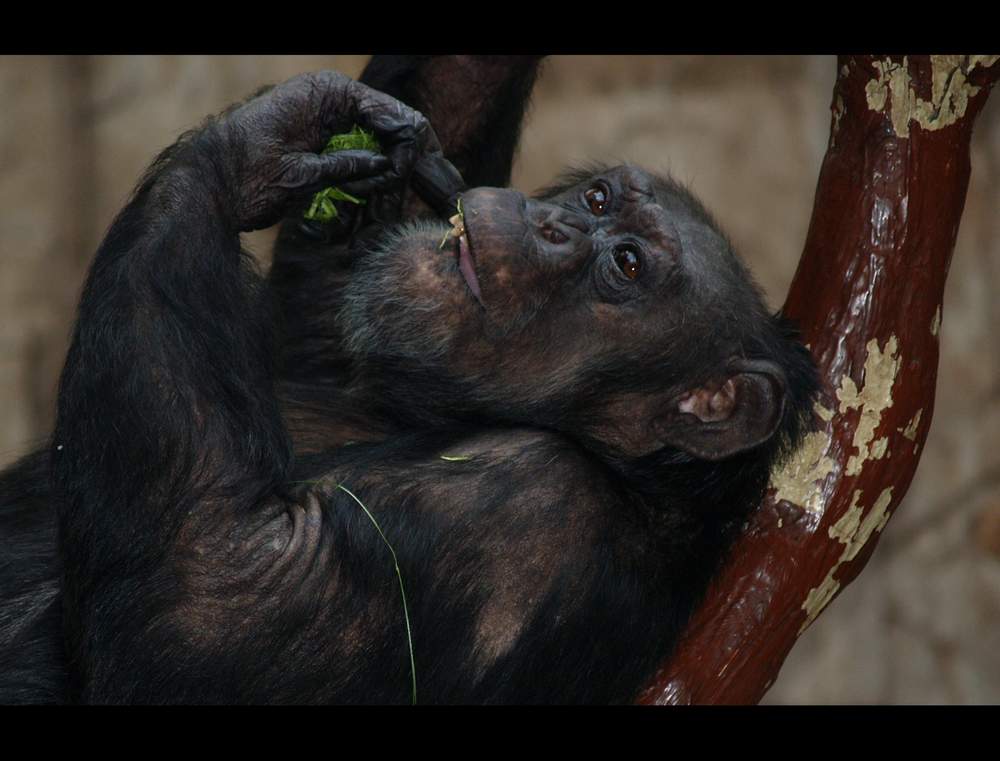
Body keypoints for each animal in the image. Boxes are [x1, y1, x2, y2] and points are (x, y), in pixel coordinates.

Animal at [0, 56, 816, 704]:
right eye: (599, 200)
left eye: (628, 266)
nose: (552, 225)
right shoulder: (332, 344)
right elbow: (321, 289)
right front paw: (310, 121)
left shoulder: (528, 514)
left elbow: (204, 604)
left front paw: (241, 155)